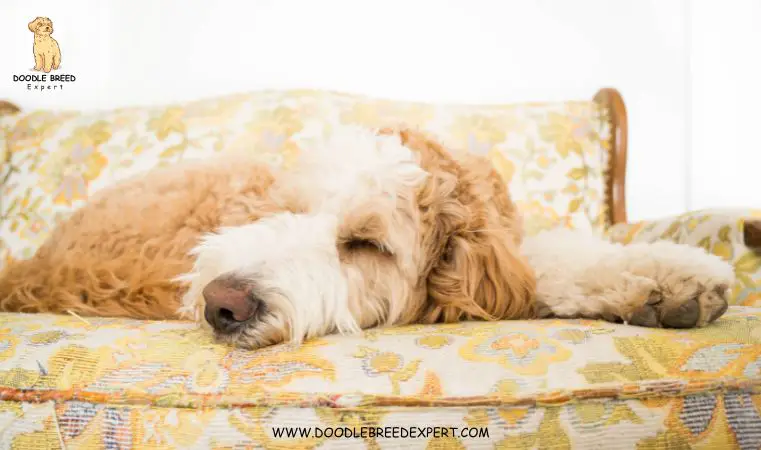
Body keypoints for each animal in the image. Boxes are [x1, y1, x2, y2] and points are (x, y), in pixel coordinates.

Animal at [1, 126, 736, 348]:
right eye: (282, 210)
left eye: (365, 245)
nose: (220, 304)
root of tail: (37, 265)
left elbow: (552, 257)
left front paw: (672, 276)